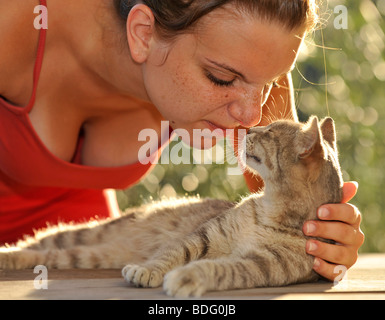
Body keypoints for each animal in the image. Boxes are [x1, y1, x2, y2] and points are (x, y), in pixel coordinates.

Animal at [0, 117, 342, 298]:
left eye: (270, 133)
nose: (247, 129)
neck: (270, 210)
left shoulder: (259, 264)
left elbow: (217, 268)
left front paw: (186, 278)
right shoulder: (206, 236)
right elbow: (172, 254)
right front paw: (147, 270)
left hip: (85, 255)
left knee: (46, 255)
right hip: (84, 234)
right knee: (34, 243)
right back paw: (7, 254)